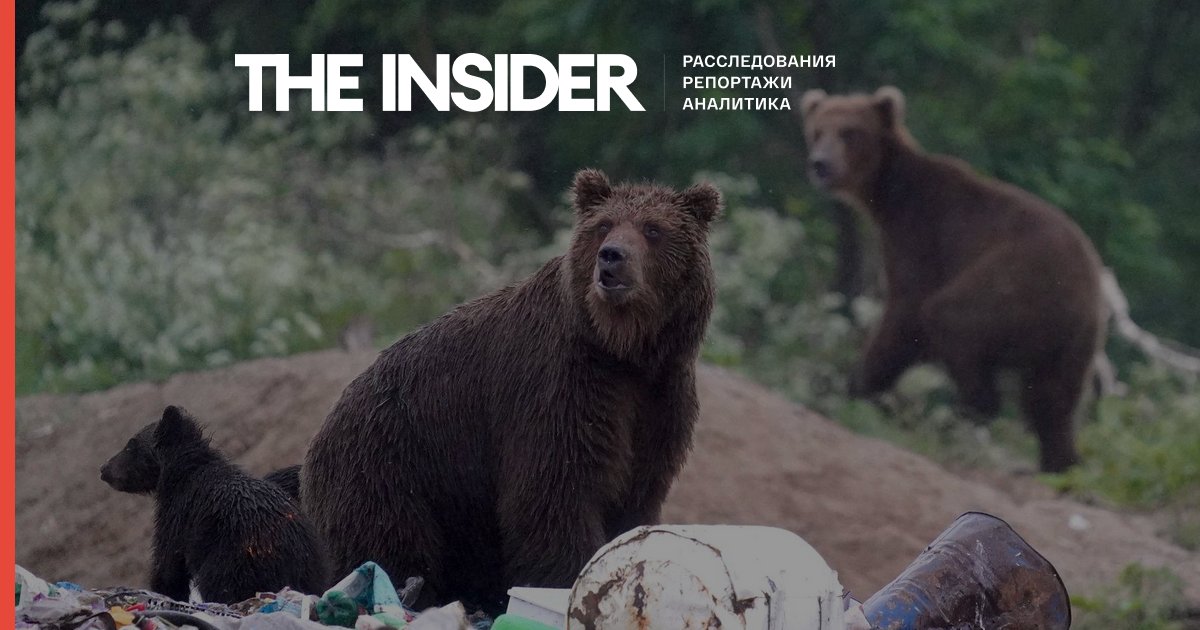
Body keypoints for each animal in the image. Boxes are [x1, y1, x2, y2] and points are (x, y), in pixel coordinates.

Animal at [100, 406, 330, 602]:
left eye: (130, 444)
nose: (104, 469)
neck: (180, 474)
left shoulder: (178, 515)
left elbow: (168, 563)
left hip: (231, 560)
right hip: (311, 564)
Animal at [301, 169, 721, 613]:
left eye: (653, 229)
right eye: (604, 225)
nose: (611, 256)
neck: (622, 350)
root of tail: (322, 430)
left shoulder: (661, 396)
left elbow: (636, 493)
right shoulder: (559, 388)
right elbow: (555, 492)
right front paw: (566, 578)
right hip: (390, 466)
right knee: (390, 541)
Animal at [800, 86, 1105, 473]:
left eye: (849, 132)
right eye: (817, 131)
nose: (821, 164)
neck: (887, 193)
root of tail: (1091, 292)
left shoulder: (921, 233)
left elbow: (906, 311)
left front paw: (862, 385)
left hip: (1018, 289)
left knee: (951, 317)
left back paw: (968, 414)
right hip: (1069, 346)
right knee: (1052, 403)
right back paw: (1060, 462)